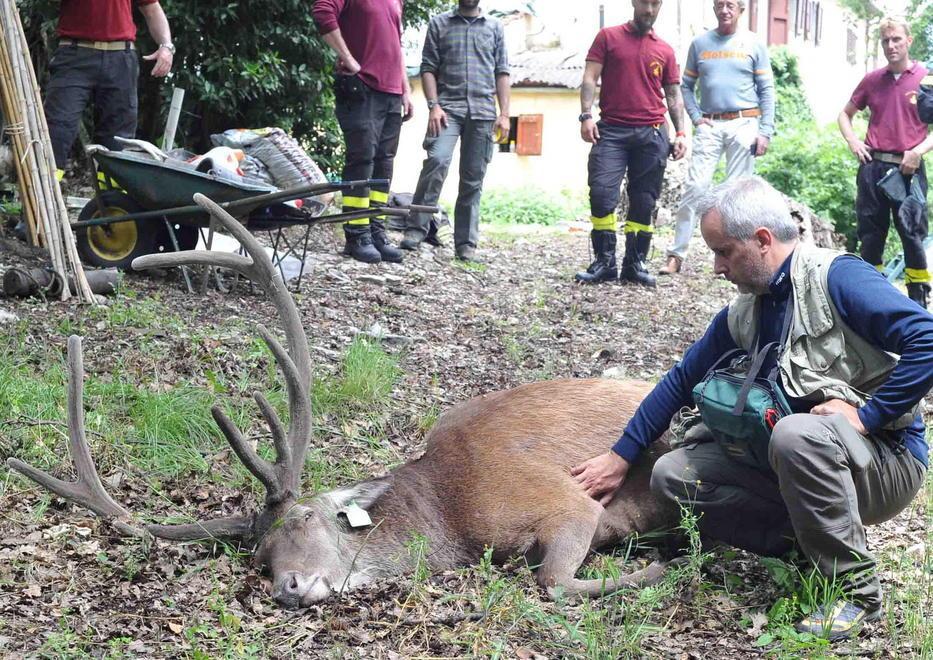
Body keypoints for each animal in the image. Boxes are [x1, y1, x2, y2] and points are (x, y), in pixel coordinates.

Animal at [6, 194, 678, 609]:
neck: (450, 516)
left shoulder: (567, 502)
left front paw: (652, 569)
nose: (289, 586)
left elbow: (552, 581)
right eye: (259, 555)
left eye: (306, 518)